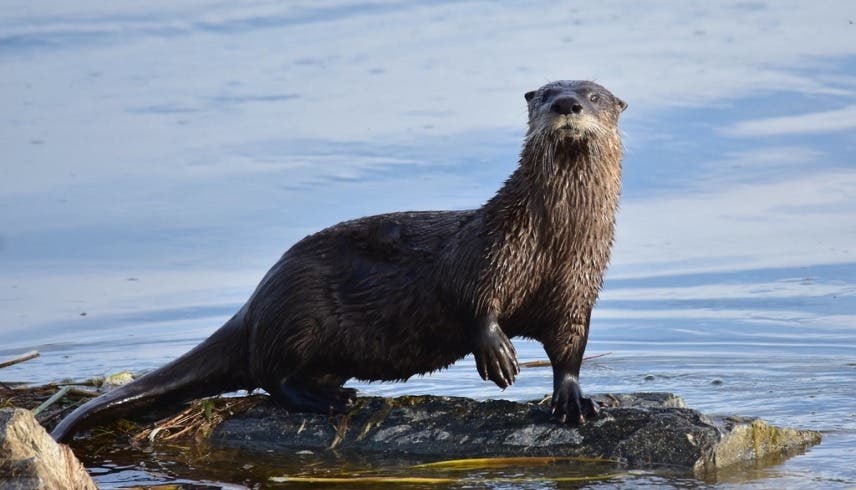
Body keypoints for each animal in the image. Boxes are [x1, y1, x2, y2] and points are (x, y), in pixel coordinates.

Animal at [53, 79, 628, 440]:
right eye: (546, 94)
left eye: (594, 95)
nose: (567, 104)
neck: (553, 242)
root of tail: (255, 302)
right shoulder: (490, 250)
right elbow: (471, 299)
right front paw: (499, 354)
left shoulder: (577, 287)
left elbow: (570, 347)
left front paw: (574, 400)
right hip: (299, 313)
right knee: (272, 376)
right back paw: (328, 400)